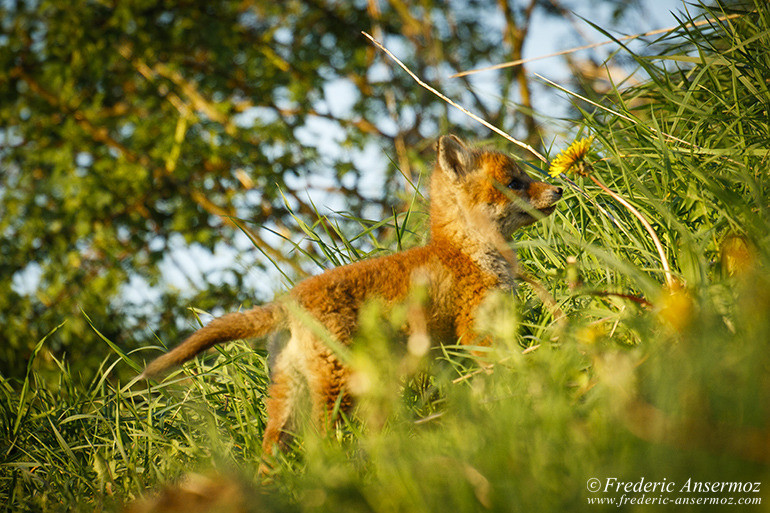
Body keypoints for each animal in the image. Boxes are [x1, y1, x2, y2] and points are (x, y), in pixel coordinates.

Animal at [142, 133, 560, 456]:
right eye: (515, 182)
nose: (558, 187)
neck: (467, 252)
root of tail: (291, 299)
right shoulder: (476, 330)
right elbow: (496, 374)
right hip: (339, 387)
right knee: (320, 440)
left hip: (288, 395)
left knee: (272, 450)